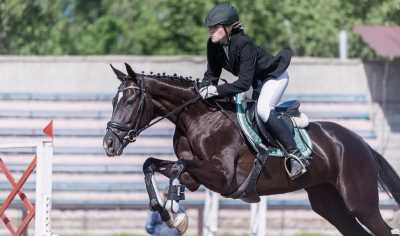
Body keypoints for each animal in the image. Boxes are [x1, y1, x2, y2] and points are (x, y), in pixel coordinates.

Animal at [102, 63, 400, 236]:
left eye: (130, 100)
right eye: (115, 99)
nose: (108, 143)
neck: (197, 118)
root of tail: (361, 143)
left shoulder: (223, 177)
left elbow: (177, 167)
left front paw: (176, 215)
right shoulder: (196, 177)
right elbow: (152, 165)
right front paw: (170, 213)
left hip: (360, 203)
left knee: (382, 229)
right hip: (327, 202)